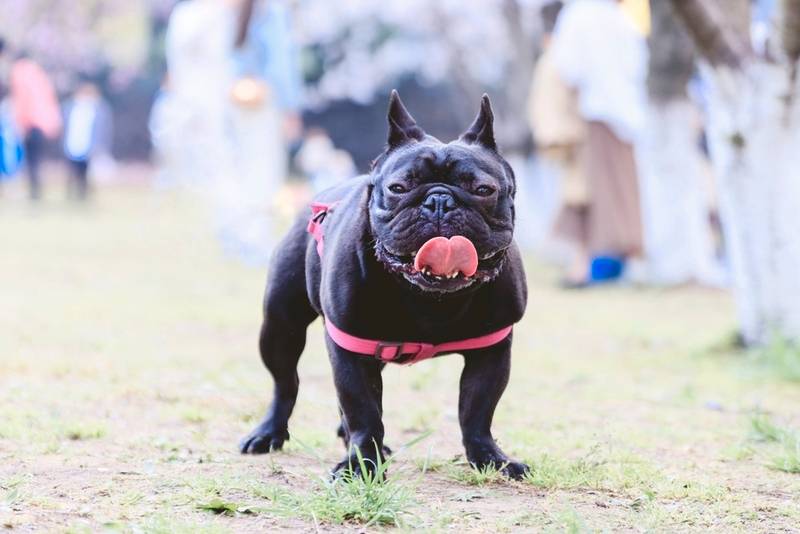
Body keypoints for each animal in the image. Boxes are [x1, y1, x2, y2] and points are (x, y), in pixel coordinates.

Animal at [241, 90, 528, 480]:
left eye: (484, 190)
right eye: (398, 188)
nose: (440, 201)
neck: (430, 297)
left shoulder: (492, 350)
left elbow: (477, 411)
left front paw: (490, 459)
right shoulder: (349, 348)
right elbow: (363, 410)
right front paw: (360, 464)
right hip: (281, 325)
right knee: (285, 383)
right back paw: (269, 433)